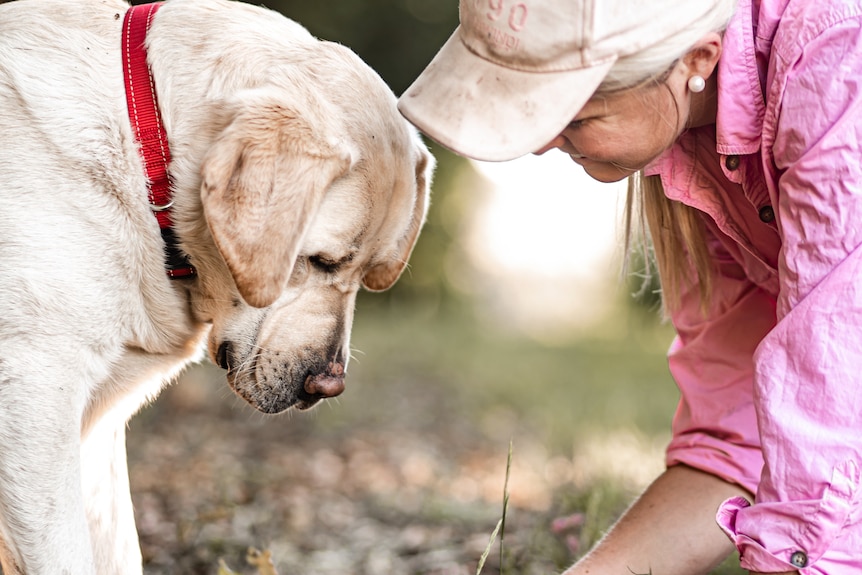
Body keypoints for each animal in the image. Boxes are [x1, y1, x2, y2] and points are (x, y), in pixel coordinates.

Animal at [0, 0, 432, 572]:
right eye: (318, 260)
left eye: (367, 273)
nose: (329, 387)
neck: (146, 153)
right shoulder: (34, 394)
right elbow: (68, 556)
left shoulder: (96, 430)